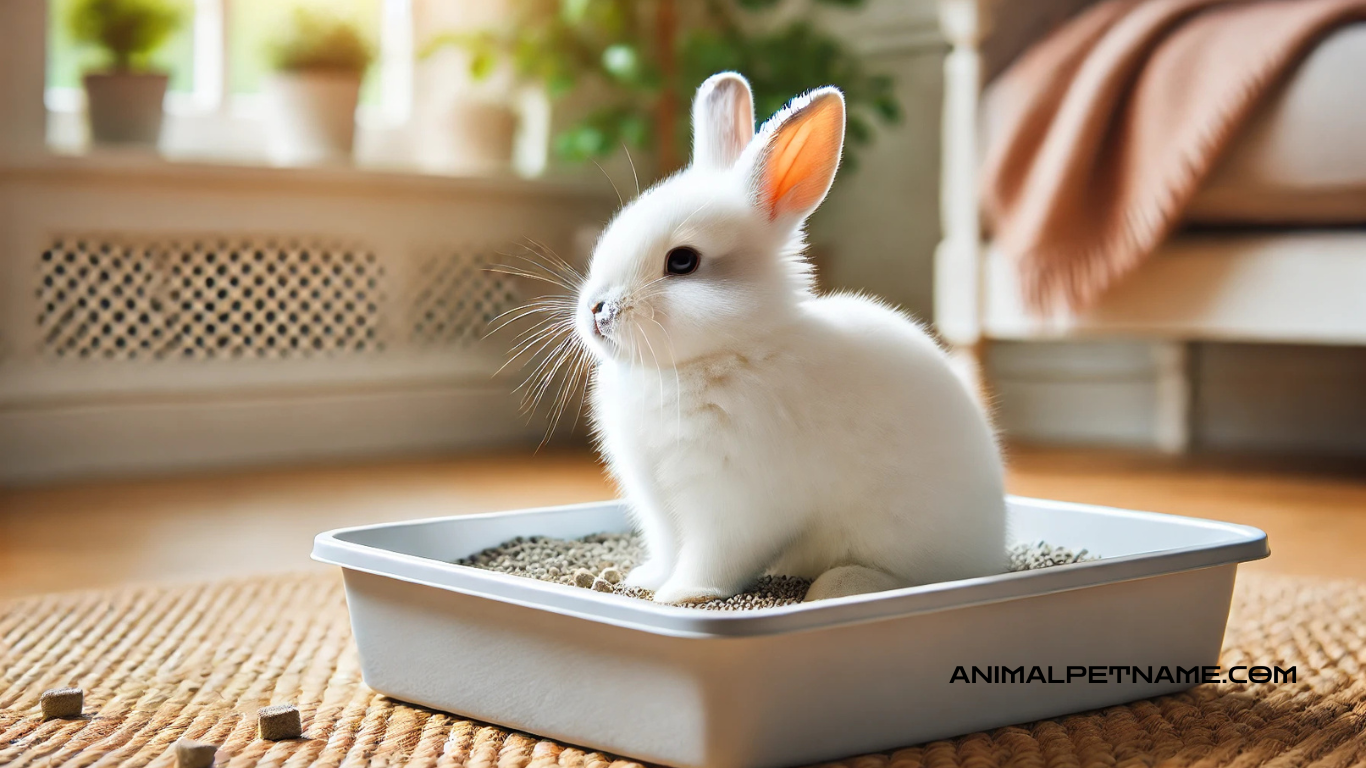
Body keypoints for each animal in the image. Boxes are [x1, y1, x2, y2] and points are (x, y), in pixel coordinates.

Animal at [570, 71, 1010, 601]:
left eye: (683, 261)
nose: (597, 310)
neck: (727, 351)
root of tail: (992, 551)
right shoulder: (657, 499)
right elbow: (669, 547)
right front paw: (648, 580)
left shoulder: (734, 502)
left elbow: (712, 558)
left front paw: (682, 595)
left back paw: (838, 586)